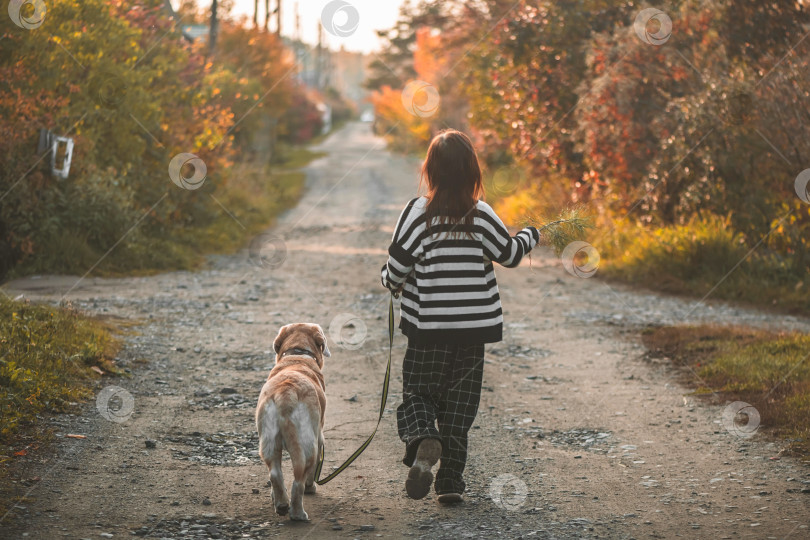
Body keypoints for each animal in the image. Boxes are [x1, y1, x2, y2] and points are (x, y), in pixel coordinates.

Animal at [252, 322, 328, 520]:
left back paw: (281, 504)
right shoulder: (319, 437)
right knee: (298, 481)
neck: (297, 355)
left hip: (268, 442)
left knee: (275, 474)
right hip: (308, 445)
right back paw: (298, 513)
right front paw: (311, 487)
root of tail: (285, 393)